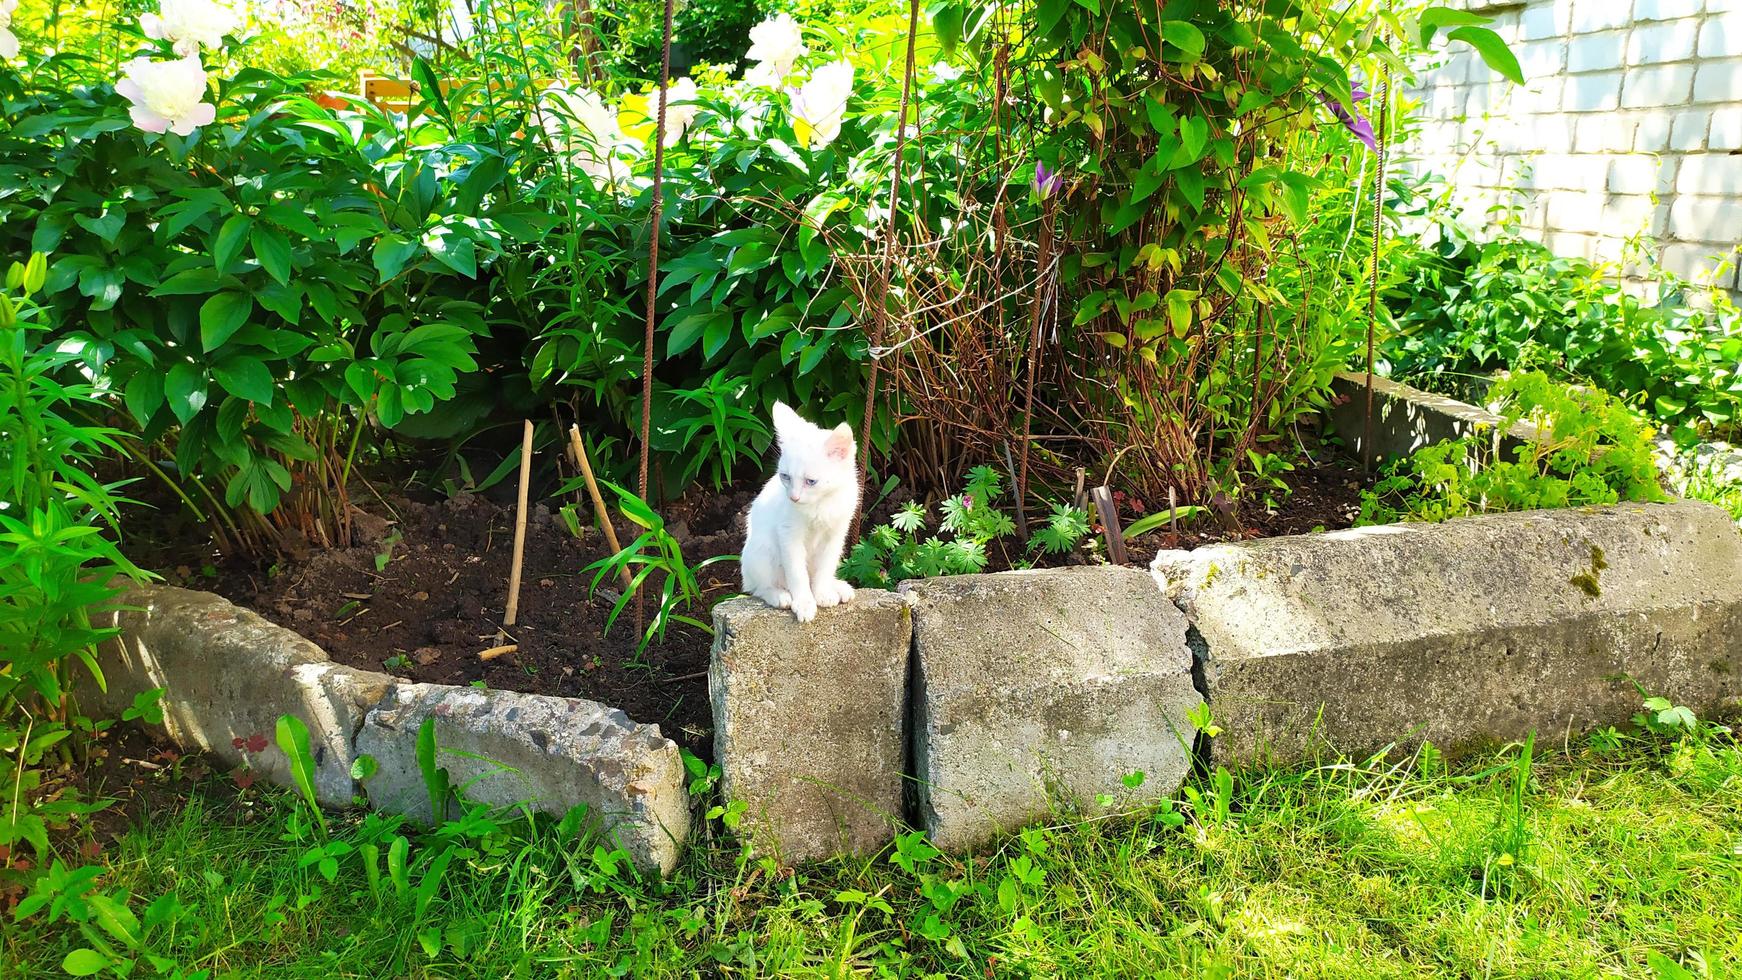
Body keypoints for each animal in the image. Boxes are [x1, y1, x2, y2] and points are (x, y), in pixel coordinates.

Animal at [738, 402, 860, 626]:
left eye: (811, 481)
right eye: (785, 476)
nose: (793, 498)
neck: (821, 504)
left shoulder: (836, 534)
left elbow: (825, 565)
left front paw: (822, 592)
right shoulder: (788, 534)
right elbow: (797, 572)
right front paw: (804, 602)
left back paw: (836, 586)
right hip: (762, 551)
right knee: (757, 587)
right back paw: (778, 595)